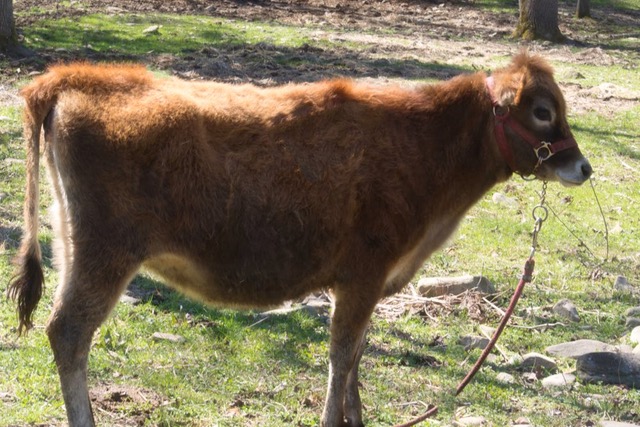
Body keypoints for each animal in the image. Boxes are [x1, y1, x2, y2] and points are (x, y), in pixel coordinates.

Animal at [8, 52, 592, 427]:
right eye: (542, 111)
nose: (583, 167)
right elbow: (342, 354)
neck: (423, 144)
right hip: (104, 255)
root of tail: (80, 77)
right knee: (68, 333)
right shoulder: (363, 275)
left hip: (73, 246)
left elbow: (355, 356)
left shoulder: (368, 283)